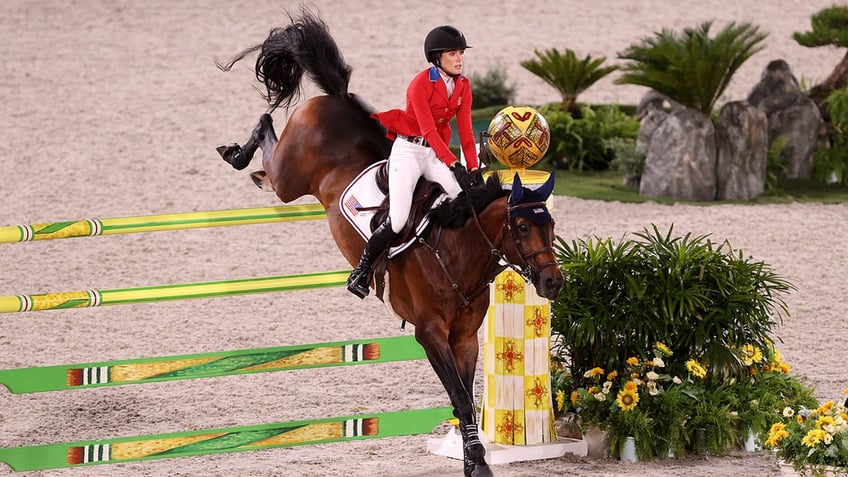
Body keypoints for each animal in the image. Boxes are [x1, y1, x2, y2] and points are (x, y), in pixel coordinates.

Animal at [219, 11, 564, 476]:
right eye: (523, 228)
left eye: (550, 226)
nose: (553, 283)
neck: (456, 255)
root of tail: (338, 99)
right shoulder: (430, 333)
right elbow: (459, 398)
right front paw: (477, 461)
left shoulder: (465, 337)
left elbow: (465, 399)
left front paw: (474, 458)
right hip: (289, 179)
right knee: (266, 133)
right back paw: (238, 156)